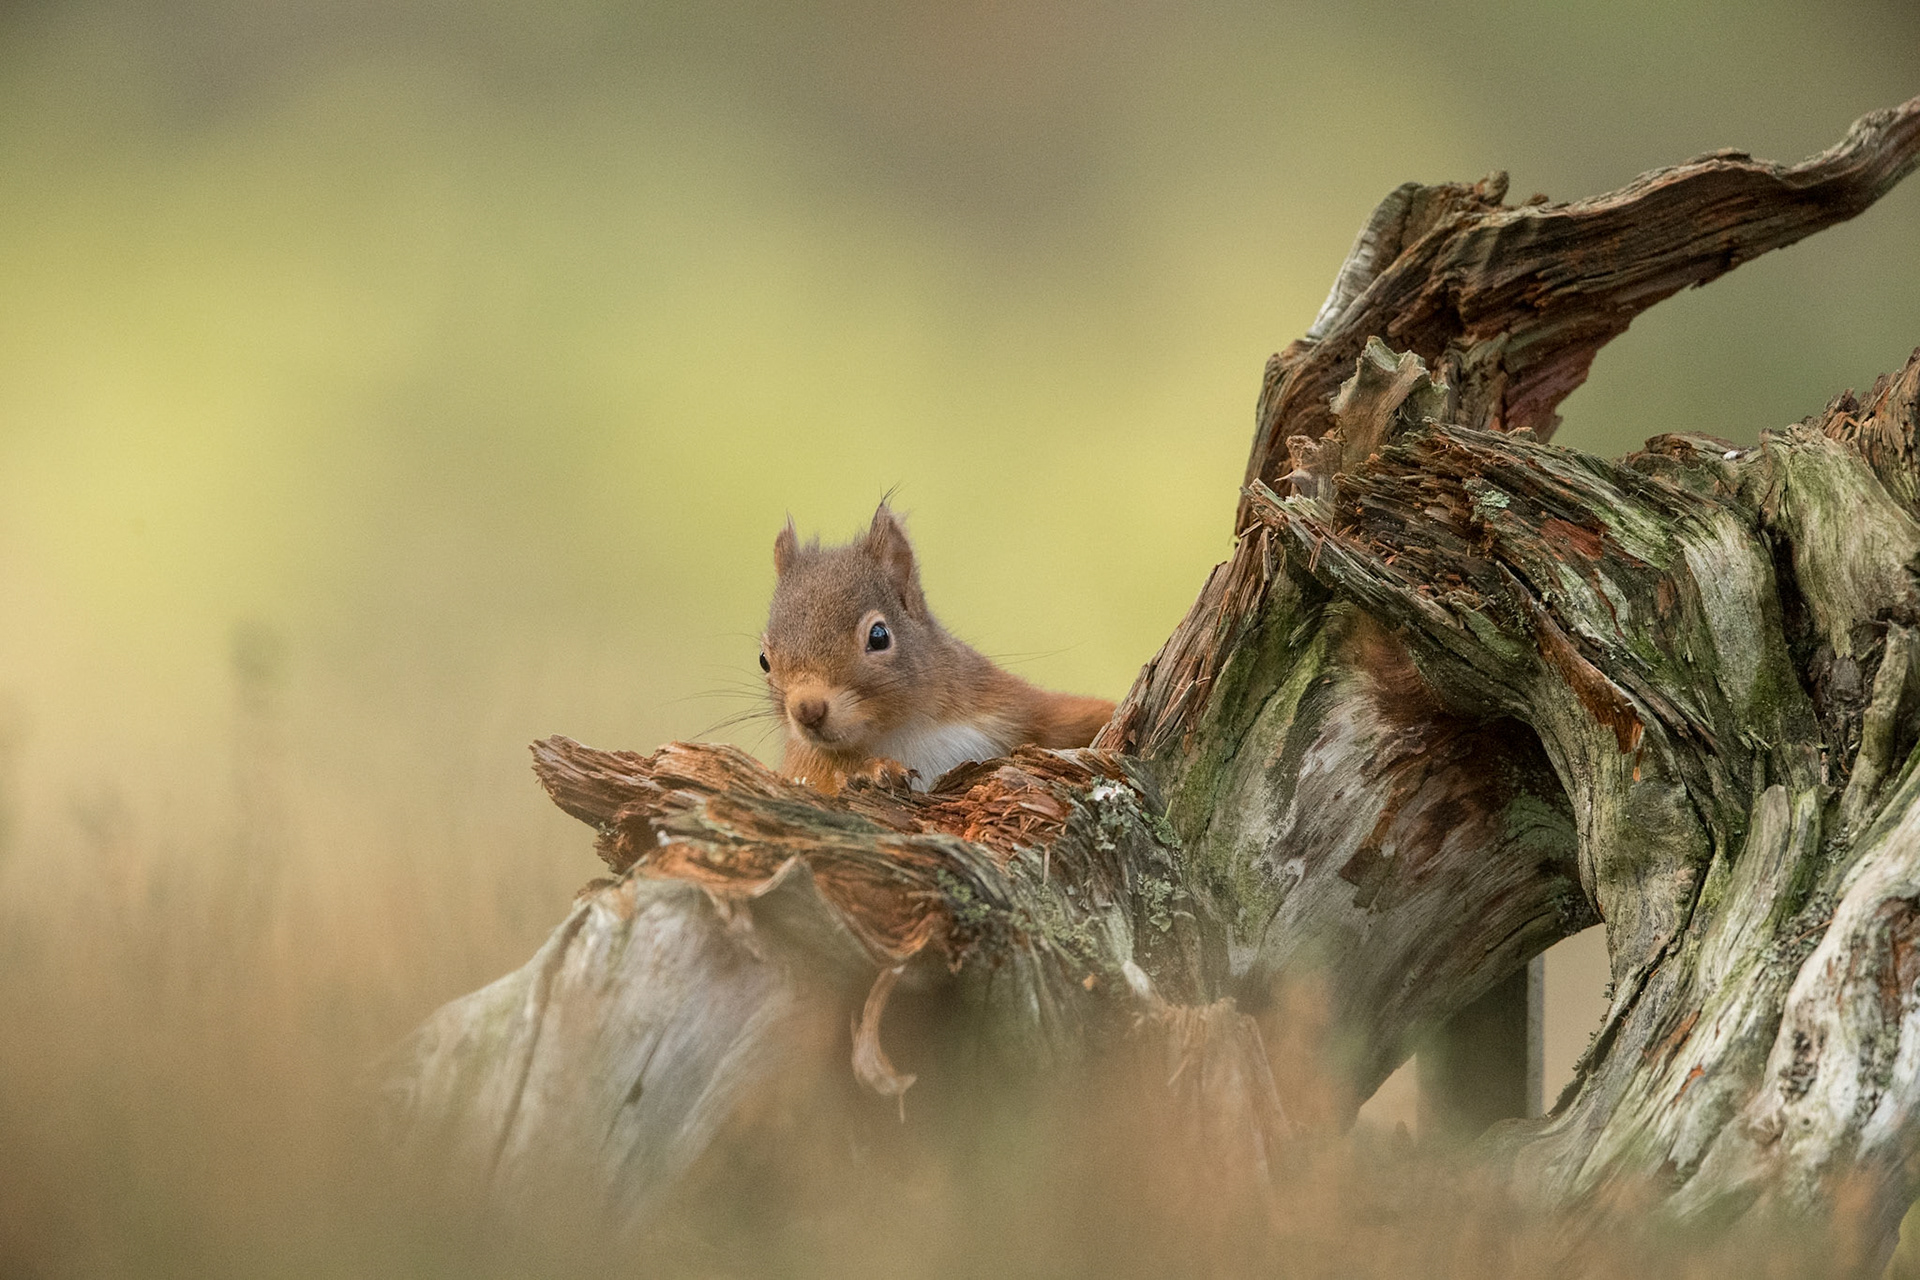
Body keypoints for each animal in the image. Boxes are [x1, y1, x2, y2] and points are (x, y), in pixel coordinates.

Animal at [760, 503, 1115, 795]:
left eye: (879, 636)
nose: (807, 710)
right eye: (764, 660)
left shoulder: (1008, 703)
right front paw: (872, 770)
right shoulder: (804, 763)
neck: (905, 729)